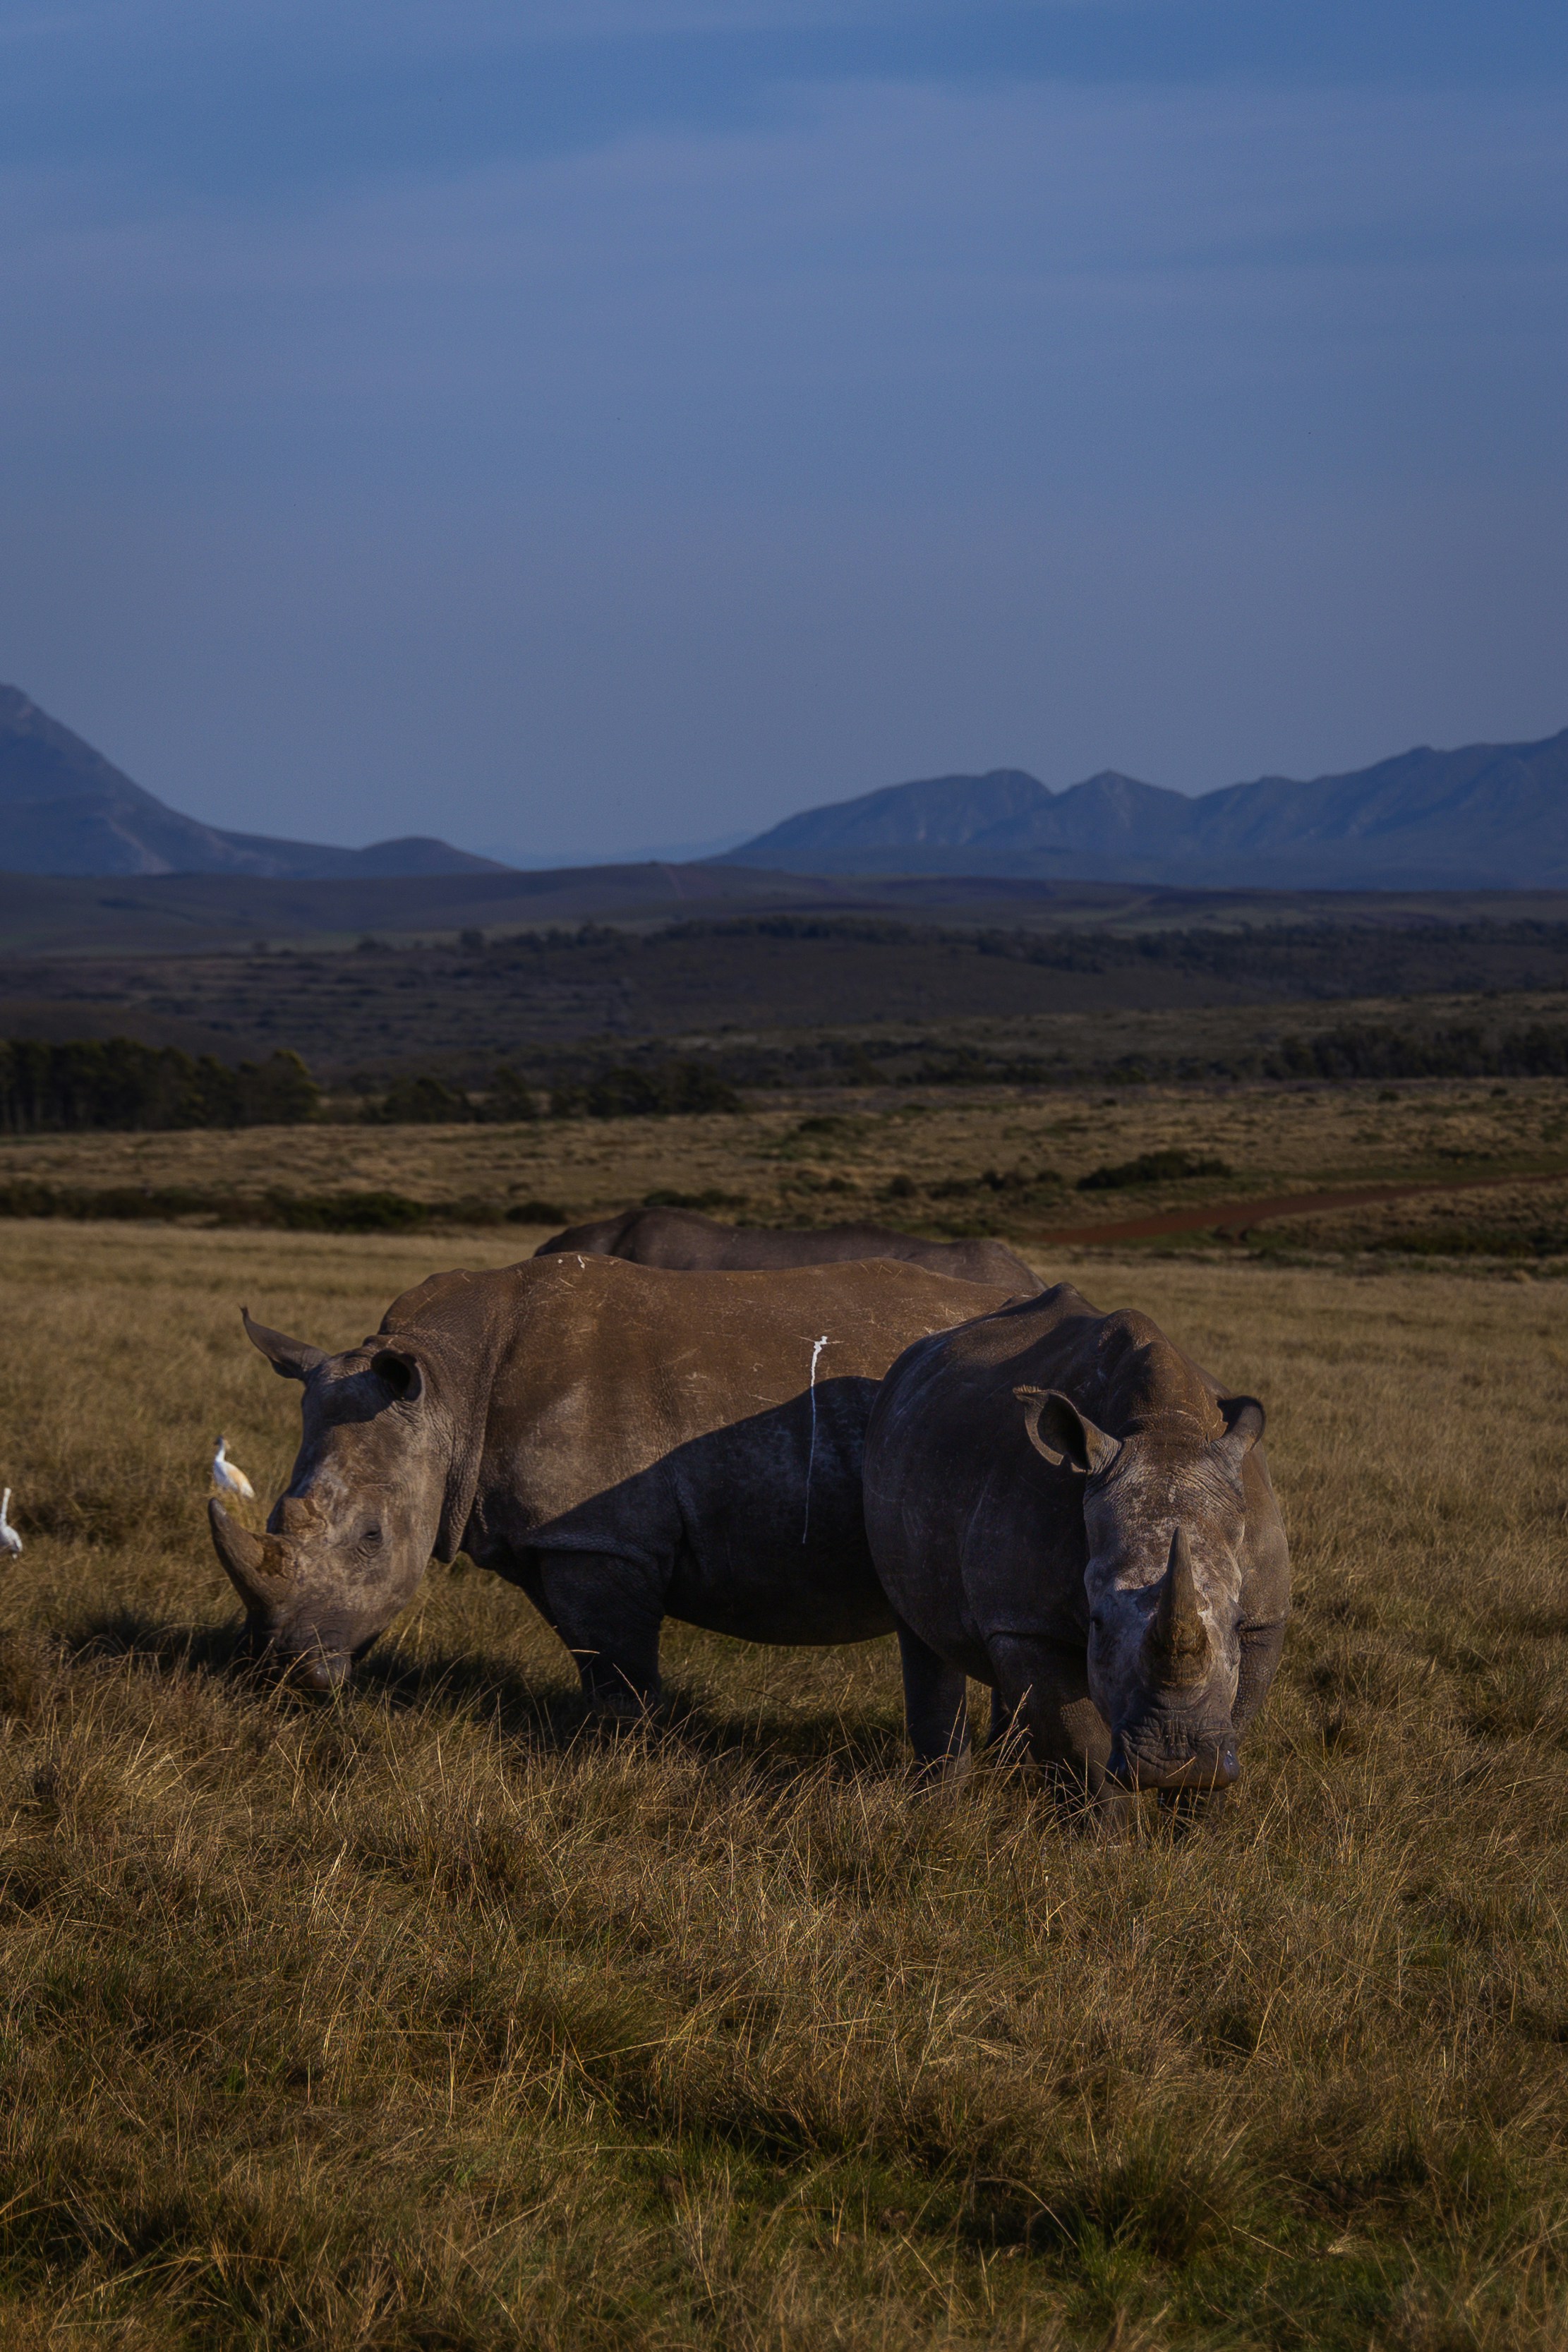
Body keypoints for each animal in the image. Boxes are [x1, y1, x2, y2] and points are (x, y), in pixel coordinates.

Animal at [209, 1253, 1018, 1700]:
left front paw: (623, 1756)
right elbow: (592, 1649)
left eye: (373, 1539)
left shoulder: (597, 1537)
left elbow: (616, 1664)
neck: (446, 1382)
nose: (278, 1671)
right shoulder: (553, 1537)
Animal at [862, 1281, 1289, 1821]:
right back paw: (937, 1805)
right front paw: (1109, 1836)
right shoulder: (1027, 1625)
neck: (1163, 1426)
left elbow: (1235, 1714)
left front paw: (1196, 1813)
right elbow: (1083, 1757)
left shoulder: (1265, 1616)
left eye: (1235, 1623)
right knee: (921, 1633)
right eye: (1097, 1623)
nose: (1174, 1760)